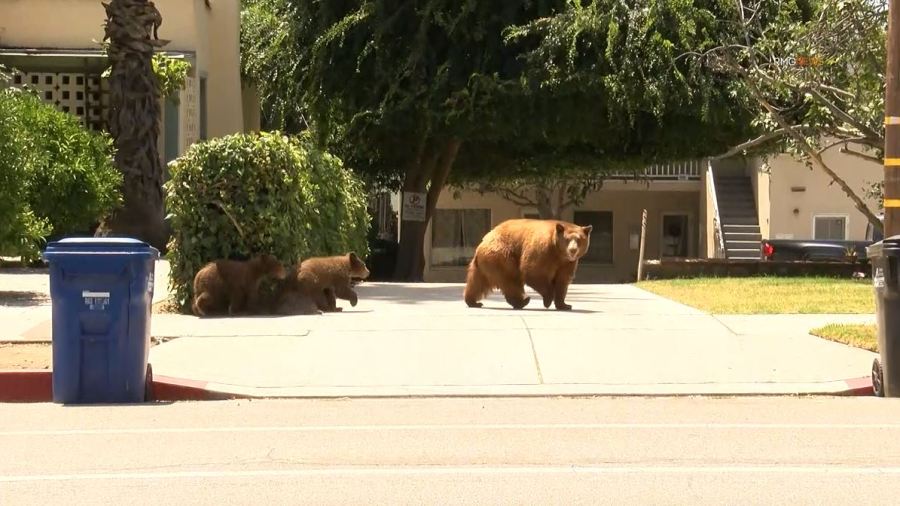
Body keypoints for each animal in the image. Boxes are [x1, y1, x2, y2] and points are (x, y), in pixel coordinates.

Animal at [464, 219, 592, 310]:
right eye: (567, 239)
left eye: (579, 239)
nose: (573, 250)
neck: (558, 253)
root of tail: (483, 241)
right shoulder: (542, 250)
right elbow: (533, 271)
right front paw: (548, 299)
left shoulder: (568, 263)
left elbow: (563, 280)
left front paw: (565, 305)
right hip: (502, 255)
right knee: (510, 279)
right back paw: (523, 301)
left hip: (483, 264)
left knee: (477, 282)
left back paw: (473, 301)